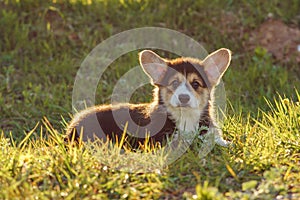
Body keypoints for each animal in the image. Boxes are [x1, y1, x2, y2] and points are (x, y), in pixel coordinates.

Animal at [66, 48, 232, 148]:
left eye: (195, 84)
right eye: (175, 83)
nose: (184, 98)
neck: (186, 117)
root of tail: (73, 124)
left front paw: (226, 143)